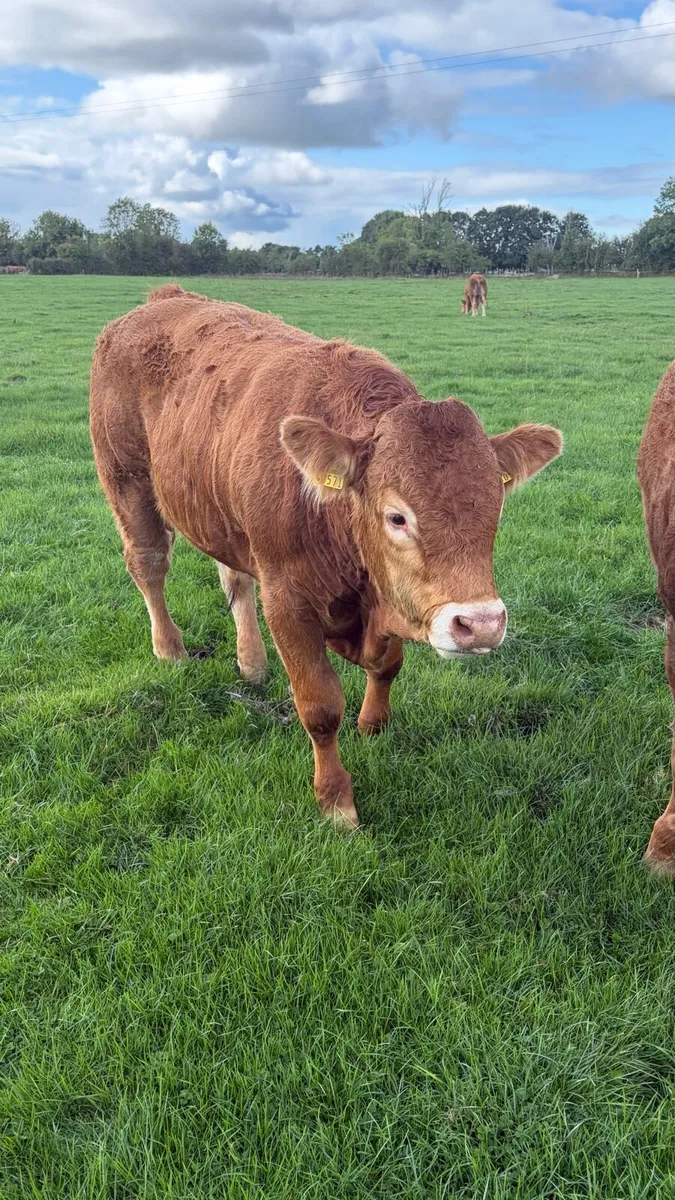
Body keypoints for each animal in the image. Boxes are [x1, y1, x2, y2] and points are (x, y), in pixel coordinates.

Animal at [90, 284, 562, 829]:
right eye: (397, 517)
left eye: (494, 506)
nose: (480, 624)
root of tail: (163, 298)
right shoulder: (288, 601)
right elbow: (319, 706)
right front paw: (336, 802)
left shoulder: (383, 598)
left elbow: (386, 666)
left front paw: (373, 724)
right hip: (126, 480)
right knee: (149, 565)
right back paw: (169, 649)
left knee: (234, 579)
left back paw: (251, 663)